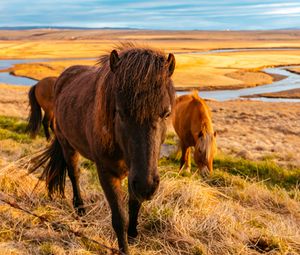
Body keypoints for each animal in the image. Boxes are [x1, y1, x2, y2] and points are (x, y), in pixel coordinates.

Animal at [29, 44, 176, 254]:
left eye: (166, 113)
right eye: (120, 112)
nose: (147, 187)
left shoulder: (136, 173)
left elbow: (134, 204)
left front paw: (133, 235)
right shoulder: (107, 173)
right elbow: (119, 217)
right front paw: (124, 248)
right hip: (67, 145)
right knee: (74, 175)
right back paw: (80, 210)